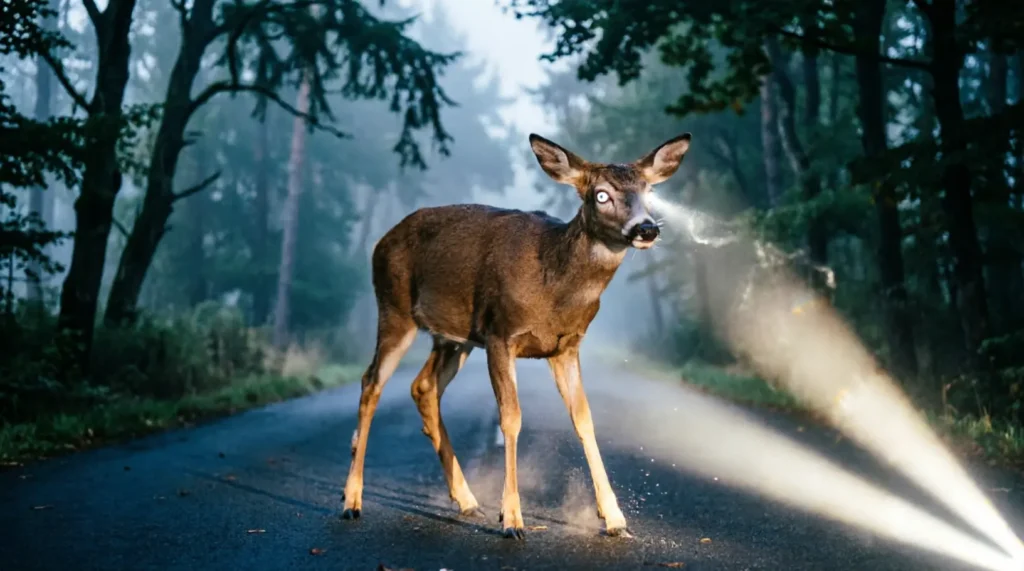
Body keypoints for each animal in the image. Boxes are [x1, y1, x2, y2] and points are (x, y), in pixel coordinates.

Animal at [340, 131, 692, 539]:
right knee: (371, 383)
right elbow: (511, 417)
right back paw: (351, 500)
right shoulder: (500, 333)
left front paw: (615, 518)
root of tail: (381, 242)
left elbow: (584, 419)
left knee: (423, 387)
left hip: (454, 337)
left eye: (649, 190)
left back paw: (467, 499)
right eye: (601, 195)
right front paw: (512, 519)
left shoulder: (566, 346)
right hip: (395, 308)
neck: (554, 287)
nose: (646, 229)